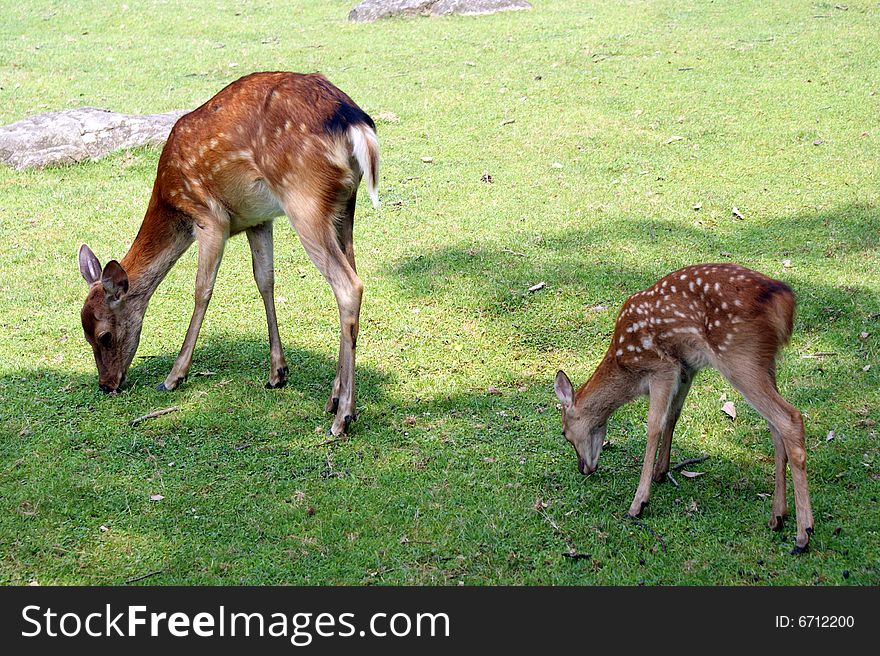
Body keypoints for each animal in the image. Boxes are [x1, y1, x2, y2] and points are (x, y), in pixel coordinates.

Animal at [82, 73, 382, 436]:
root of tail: (356, 123)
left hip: (304, 199)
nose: (106, 384)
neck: (170, 200)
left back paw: (342, 418)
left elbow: (202, 290)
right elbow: (265, 280)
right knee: (351, 276)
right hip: (344, 206)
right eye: (85, 334)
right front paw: (277, 373)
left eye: (104, 335)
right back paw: (334, 400)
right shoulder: (259, 220)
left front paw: (173, 377)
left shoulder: (210, 218)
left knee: (349, 286)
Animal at [552, 264, 816, 552]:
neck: (626, 367)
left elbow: (654, 425)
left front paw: (638, 503)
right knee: (775, 427)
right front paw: (661, 471)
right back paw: (777, 516)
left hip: (739, 356)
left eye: (564, 433)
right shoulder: (686, 368)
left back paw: (803, 534)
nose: (583, 468)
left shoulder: (661, 368)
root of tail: (783, 298)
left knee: (790, 418)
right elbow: (673, 415)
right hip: (766, 363)